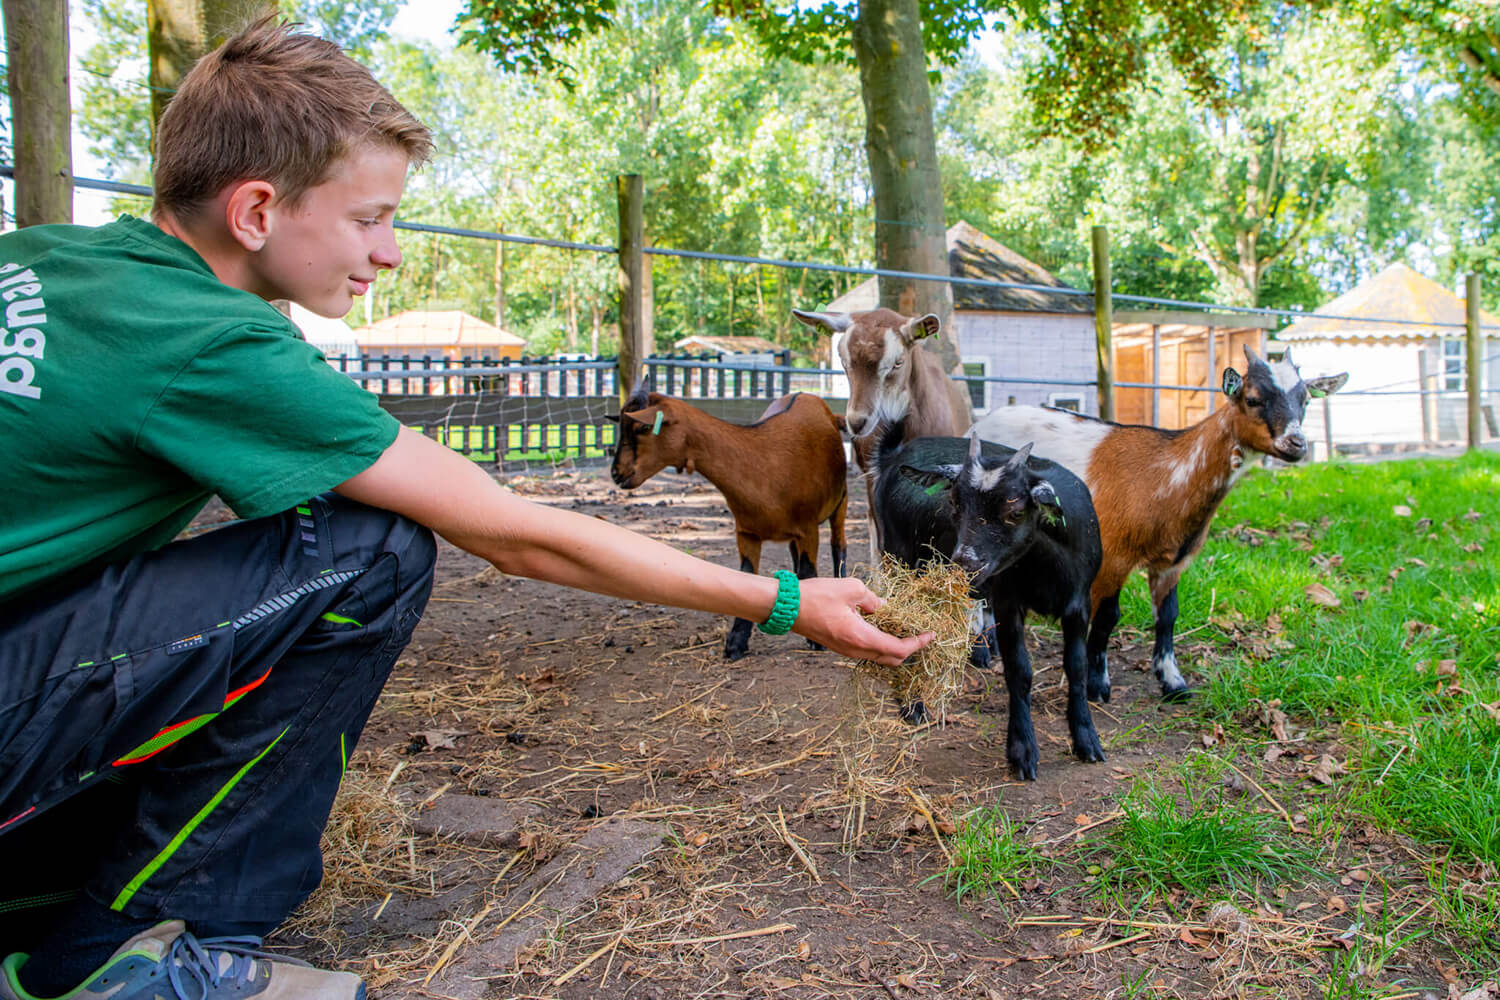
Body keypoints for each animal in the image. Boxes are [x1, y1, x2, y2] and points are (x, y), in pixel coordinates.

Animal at [606, 386, 846, 659]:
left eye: (643, 428)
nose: (616, 473)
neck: (765, 466)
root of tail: (807, 395)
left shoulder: (807, 529)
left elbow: (808, 570)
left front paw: (817, 639)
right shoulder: (747, 532)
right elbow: (748, 574)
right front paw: (736, 642)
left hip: (840, 501)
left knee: (838, 545)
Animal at [966, 347, 1356, 701]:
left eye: (1305, 400)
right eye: (1253, 398)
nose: (1296, 444)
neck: (1167, 474)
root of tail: (979, 423)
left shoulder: (1174, 563)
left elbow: (1168, 617)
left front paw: (1172, 682)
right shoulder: (1113, 557)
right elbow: (1107, 618)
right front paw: (1097, 685)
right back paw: (981, 650)